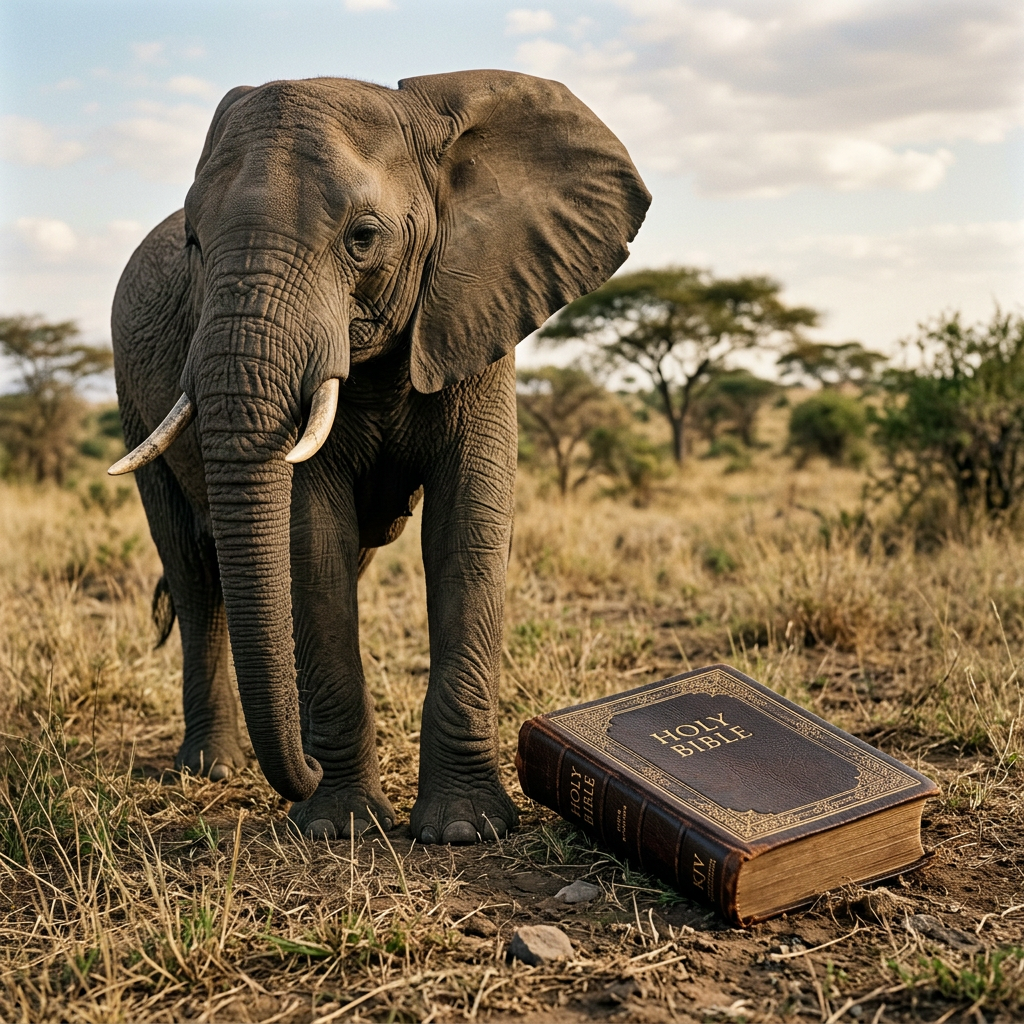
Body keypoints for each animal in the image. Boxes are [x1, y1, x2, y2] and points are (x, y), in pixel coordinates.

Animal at [109, 70, 649, 844]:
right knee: (192, 572)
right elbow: (313, 540)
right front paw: (340, 827)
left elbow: (466, 531)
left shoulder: (477, 305)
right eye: (194, 245)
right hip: (132, 400)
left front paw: (464, 830)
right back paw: (213, 768)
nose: (301, 776)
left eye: (363, 239)